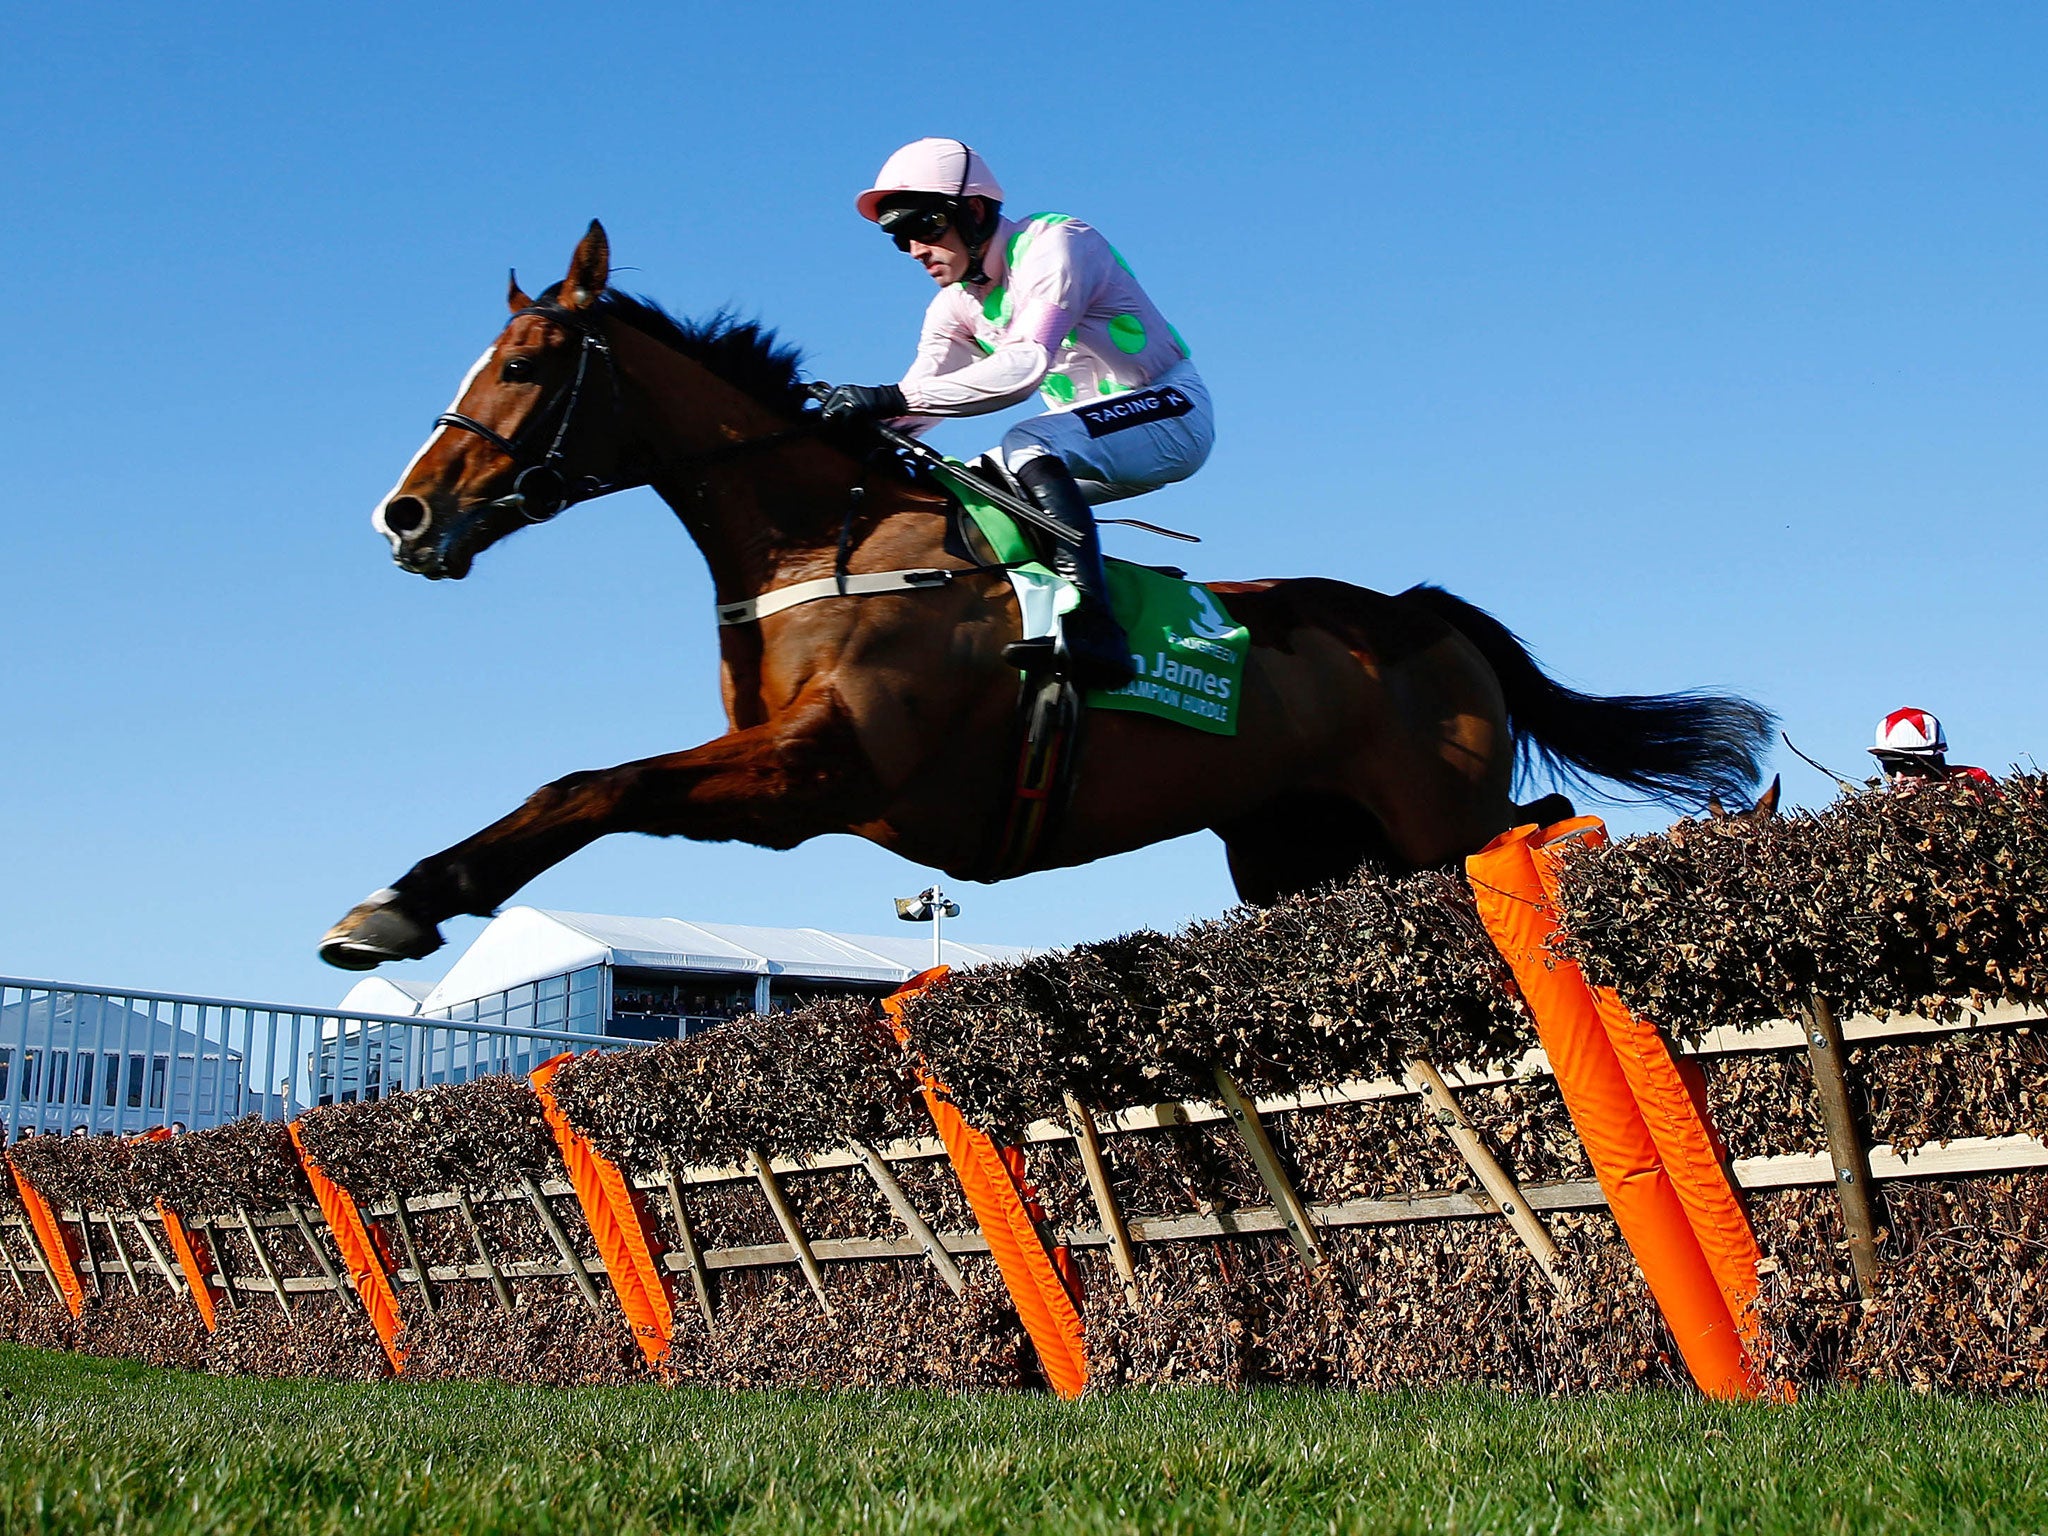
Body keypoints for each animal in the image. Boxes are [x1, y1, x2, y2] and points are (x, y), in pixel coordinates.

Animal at [315, 225, 1761, 974]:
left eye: (526, 361)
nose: (406, 515)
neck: (822, 541)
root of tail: (1425, 613)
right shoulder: (791, 773)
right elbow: (594, 784)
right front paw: (401, 896)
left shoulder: (822, 775)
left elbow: (592, 784)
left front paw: (401, 904)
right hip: (1297, 849)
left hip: (1430, 816)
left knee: (1541, 827)